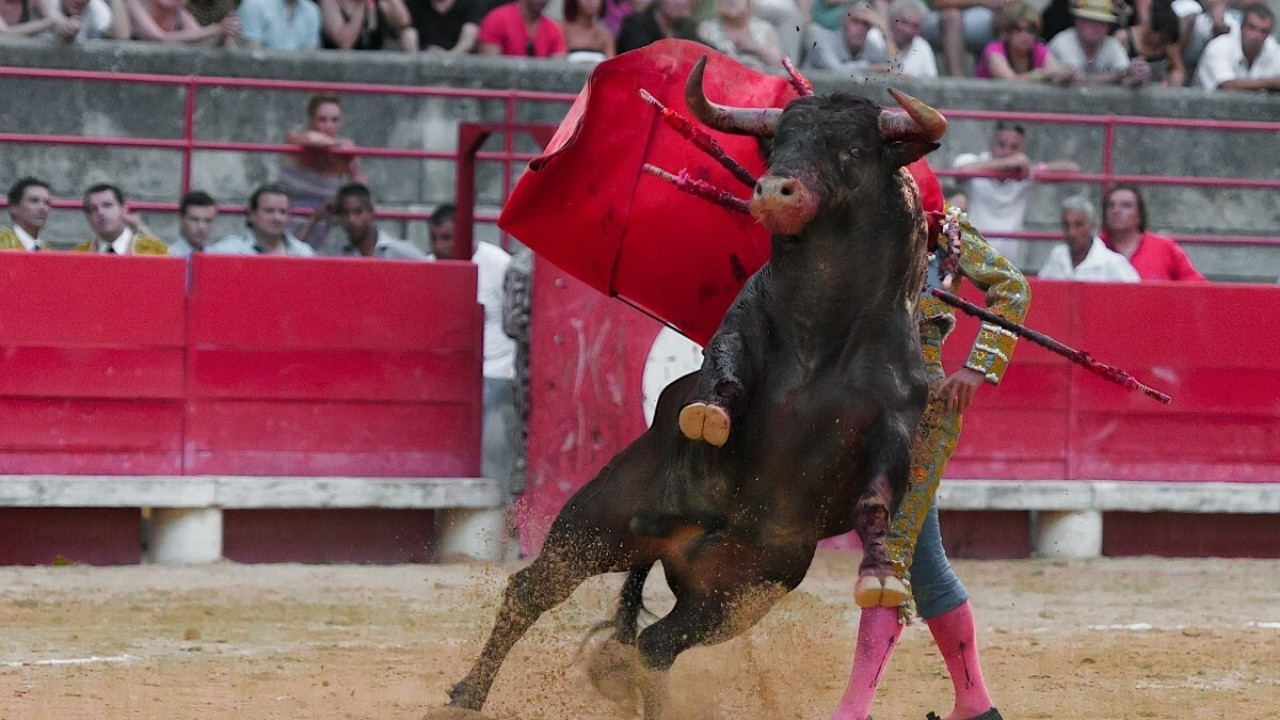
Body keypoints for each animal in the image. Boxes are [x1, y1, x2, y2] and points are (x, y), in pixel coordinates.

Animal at [445, 58, 947, 712]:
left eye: (854, 149)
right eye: (776, 145)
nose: (773, 191)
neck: (824, 328)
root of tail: (672, 547)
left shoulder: (897, 417)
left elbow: (877, 497)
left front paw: (881, 572)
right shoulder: (738, 332)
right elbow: (724, 373)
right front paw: (708, 417)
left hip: (732, 596)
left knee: (654, 646)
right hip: (596, 520)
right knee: (535, 589)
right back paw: (467, 691)